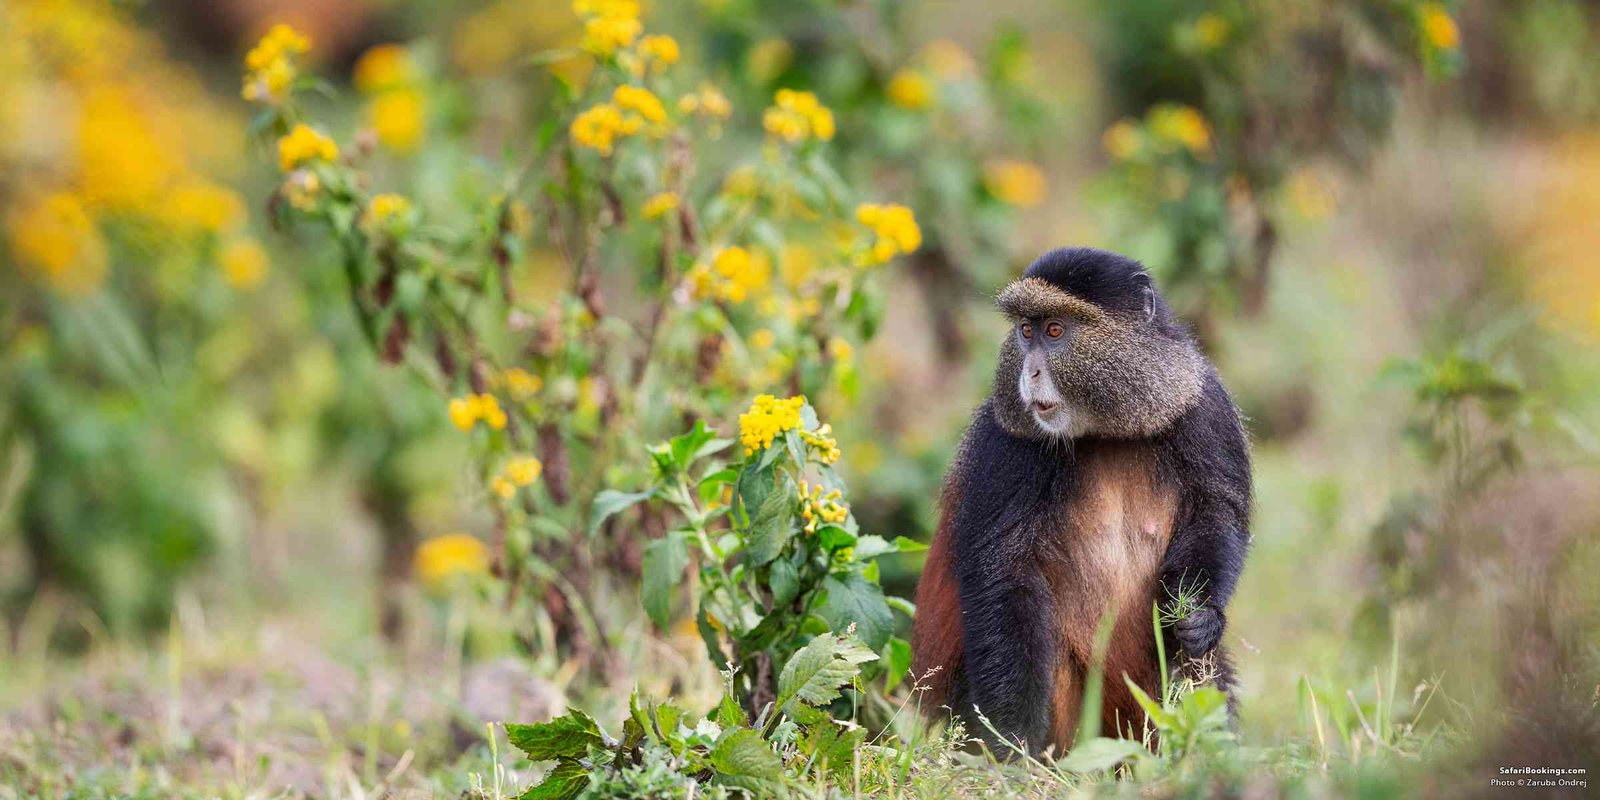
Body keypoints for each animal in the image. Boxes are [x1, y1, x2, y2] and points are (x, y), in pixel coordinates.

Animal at [911, 247, 1252, 755]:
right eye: (1025, 331)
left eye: (1055, 331)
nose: (1029, 373)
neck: (1105, 429)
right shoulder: (1005, 443)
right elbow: (1005, 574)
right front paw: (1012, 749)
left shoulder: (1204, 405)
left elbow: (1217, 513)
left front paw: (1201, 618)